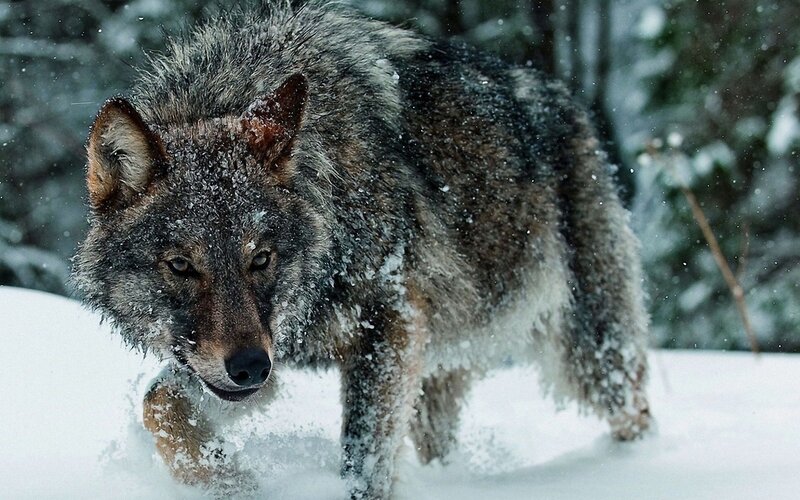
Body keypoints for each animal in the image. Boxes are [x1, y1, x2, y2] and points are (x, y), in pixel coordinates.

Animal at [74, 2, 651, 497]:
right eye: (180, 266)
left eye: (260, 258)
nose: (250, 369)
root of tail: (568, 100)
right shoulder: (263, 352)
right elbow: (159, 403)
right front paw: (227, 481)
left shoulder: (385, 322)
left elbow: (363, 462)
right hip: (433, 381)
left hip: (591, 354)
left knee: (636, 411)